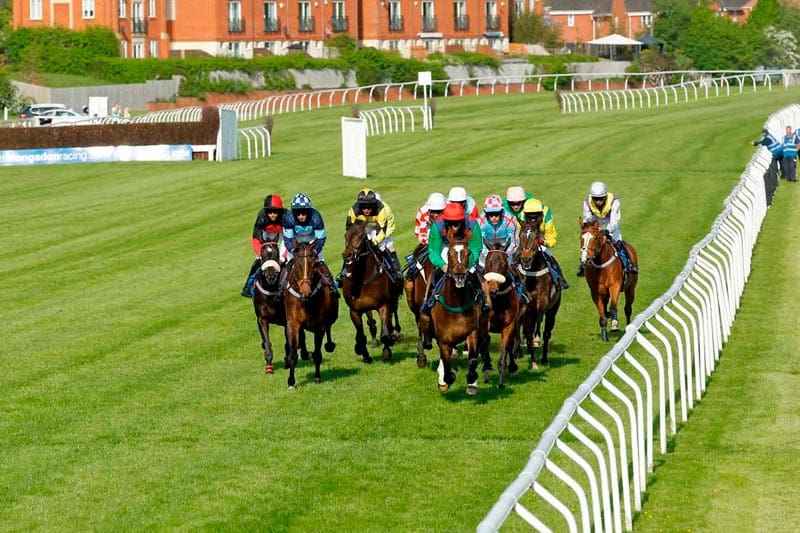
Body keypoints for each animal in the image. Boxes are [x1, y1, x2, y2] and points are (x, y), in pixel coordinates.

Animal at [282, 239, 340, 388]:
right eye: (297, 263)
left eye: (314, 264)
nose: (306, 292)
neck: (305, 300)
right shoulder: (292, 324)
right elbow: (293, 354)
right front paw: (291, 382)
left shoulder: (319, 326)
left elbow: (318, 353)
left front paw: (317, 377)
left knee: (328, 328)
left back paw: (329, 345)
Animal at [342, 219, 404, 362]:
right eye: (346, 236)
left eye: (361, 236)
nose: (347, 255)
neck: (362, 279)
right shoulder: (355, 310)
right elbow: (361, 336)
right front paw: (364, 354)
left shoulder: (383, 305)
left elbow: (385, 334)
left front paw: (386, 352)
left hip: (394, 297)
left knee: (393, 315)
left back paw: (396, 333)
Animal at [428, 227, 484, 392]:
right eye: (450, 253)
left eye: (468, 252)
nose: (459, 275)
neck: (456, 304)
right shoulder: (443, 338)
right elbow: (446, 364)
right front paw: (447, 378)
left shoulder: (472, 331)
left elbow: (473, 359)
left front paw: (472, 379)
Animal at [482, 240, 524, 386]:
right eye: (488, 262)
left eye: (504, 264)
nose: (493, 290)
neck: (498, 300)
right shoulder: (485, 325)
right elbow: (485, 345)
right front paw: (486, 372)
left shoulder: (509, 325)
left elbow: (505, 348)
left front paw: (501, 380)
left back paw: (512, 366)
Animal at [516, 222, 560, 368]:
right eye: (520, 235)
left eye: (536, 237)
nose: (526, 259)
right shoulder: (525, 304)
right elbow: (523, 328)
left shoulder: (543, 299)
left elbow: (540, 317)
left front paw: (536, 339)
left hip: (553, 309)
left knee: (547, 333)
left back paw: (544, 358)